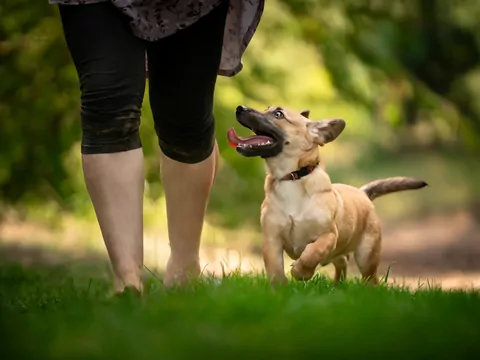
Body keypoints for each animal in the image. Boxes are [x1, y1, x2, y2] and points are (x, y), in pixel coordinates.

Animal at [226, 105, 428, 286]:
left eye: (278, 114)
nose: (240, 108)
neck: (292, 178)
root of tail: (362, 193)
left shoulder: (328, 236)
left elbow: (312, 252)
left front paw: (300, 272)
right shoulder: (272, 240)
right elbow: (276, 270)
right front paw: (280, 290)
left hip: (366, 255)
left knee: (370, 278)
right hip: (340, 253)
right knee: (343, 262)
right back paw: (337, 285)